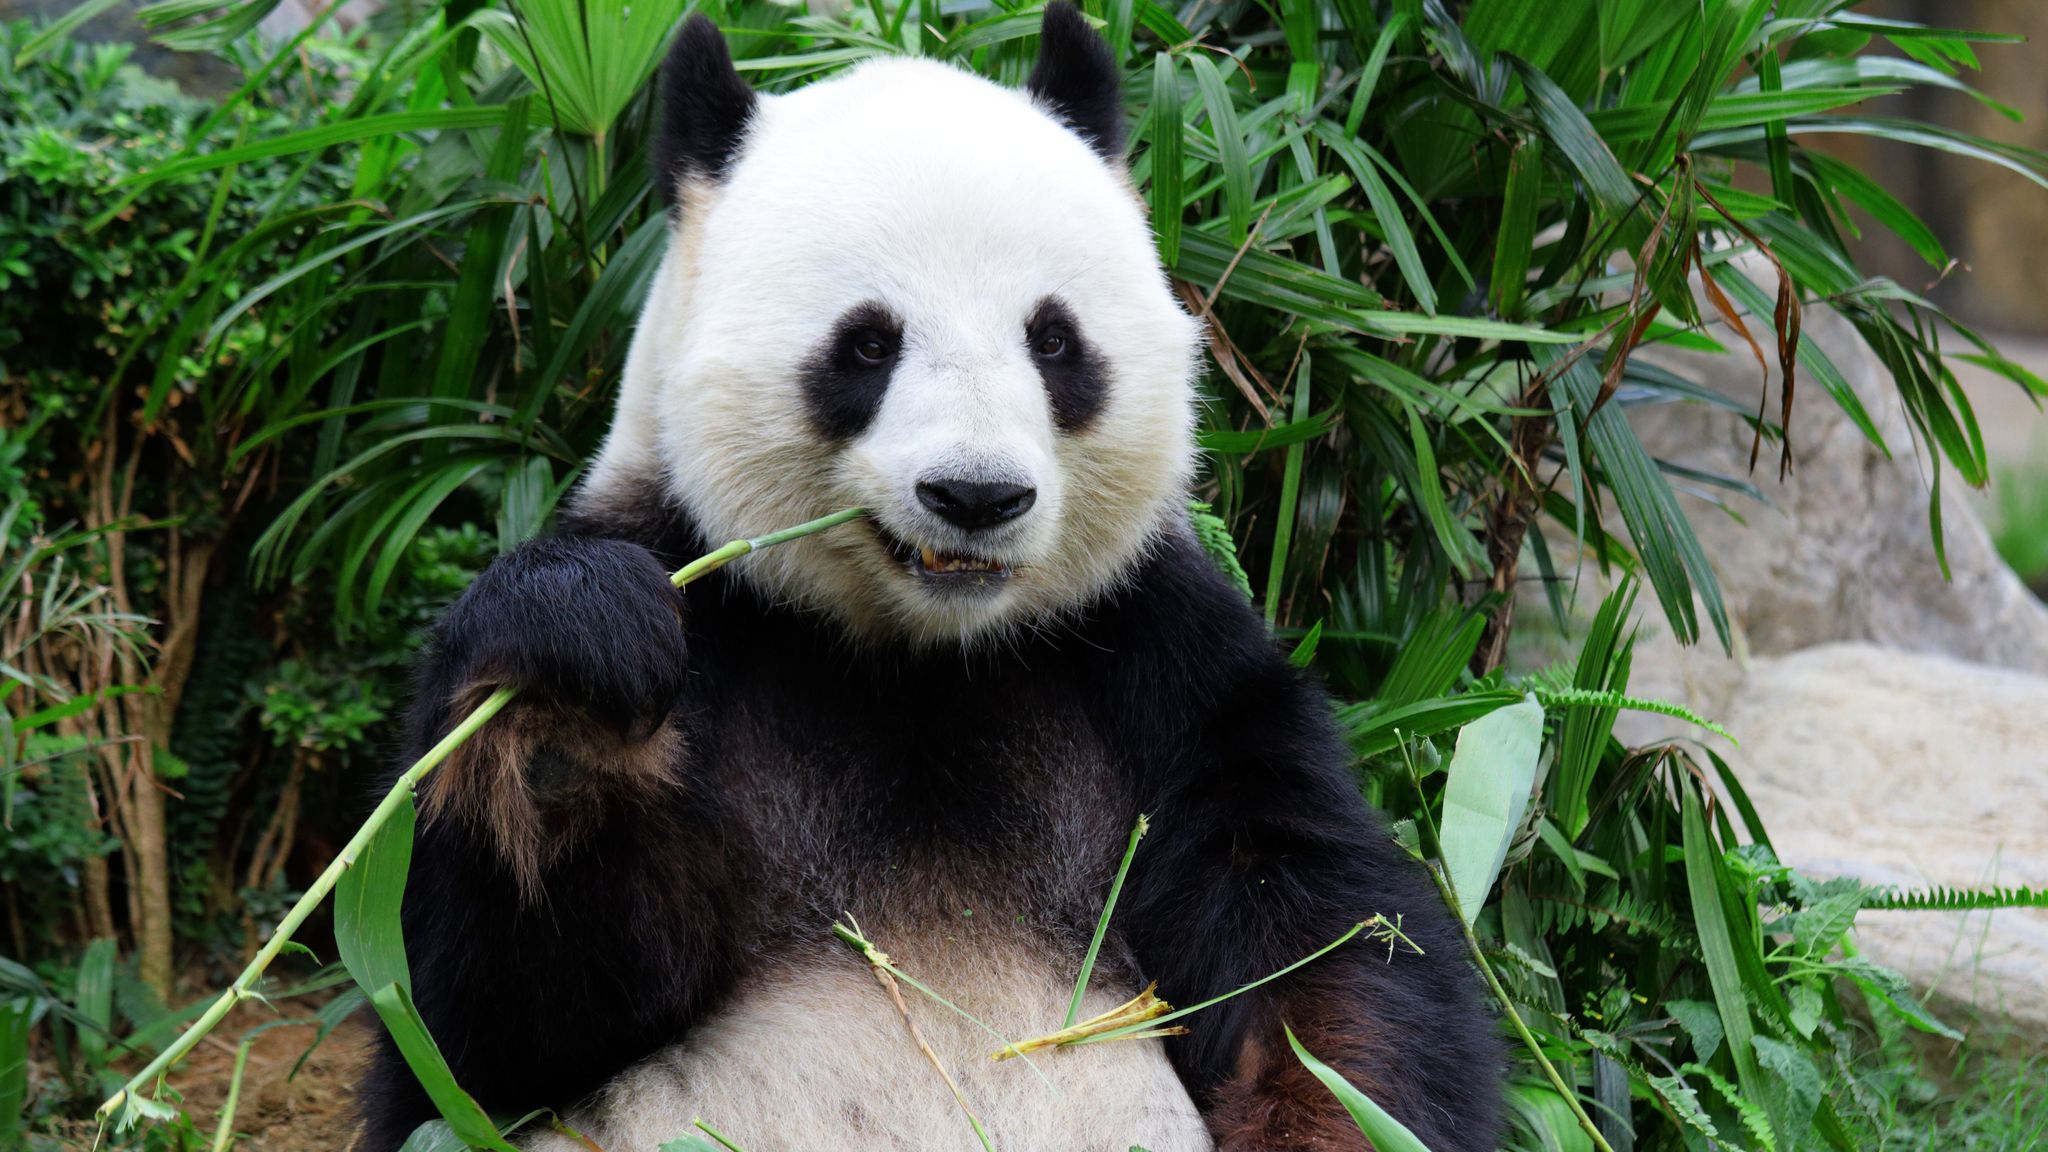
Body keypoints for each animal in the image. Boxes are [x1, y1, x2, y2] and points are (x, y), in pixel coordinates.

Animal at [357, 6, 1505, 1150]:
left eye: (1054, 339)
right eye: (867, 344)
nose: (976, 495)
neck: (921, 656)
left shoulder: (1160, 656)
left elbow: (1322, 948)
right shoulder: (707, 602)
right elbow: (483, 1030)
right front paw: (567, 700)